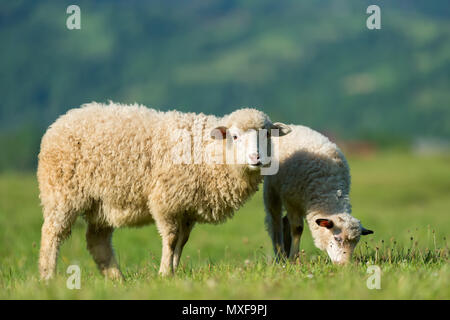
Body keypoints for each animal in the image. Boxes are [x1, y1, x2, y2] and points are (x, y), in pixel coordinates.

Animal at [38, 102, 292, 280]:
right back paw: (48, 277)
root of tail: (60, 121)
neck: (207, 151)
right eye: (235, 136)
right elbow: (170, 239)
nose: (256, 158)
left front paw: (173, 271)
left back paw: (117, 279)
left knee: (97, 241)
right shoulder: (166, 201)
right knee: (52, 234)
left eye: (267, 135)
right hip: (62, 193)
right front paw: (163, 273)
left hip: (101, 203)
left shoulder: (187, 208)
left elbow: (182, 242)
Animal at [264, 125, 372, 264]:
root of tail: (294, 126)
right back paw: (280, 255)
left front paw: (291, 257)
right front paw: (294, 259)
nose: (345, 265)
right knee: (275, 221)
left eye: (356, 243)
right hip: (272, 189)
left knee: (284, 222)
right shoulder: (290, 200)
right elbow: (297, 228)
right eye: (337, 238)